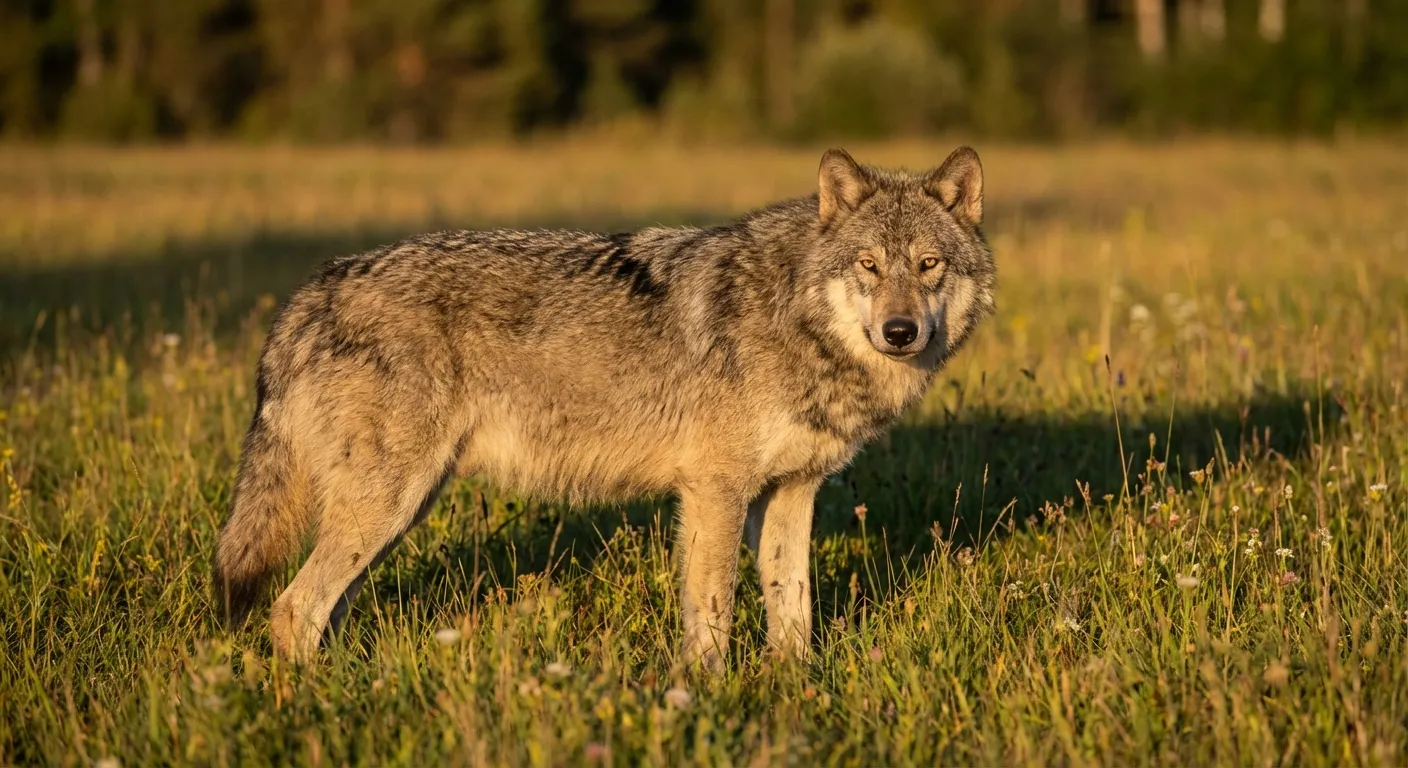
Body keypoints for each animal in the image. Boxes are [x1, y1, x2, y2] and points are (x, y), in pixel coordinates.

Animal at [212, 146, 996, 668]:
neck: (795, 318)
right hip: (388, 505)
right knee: (292, 608)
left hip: (397, 512)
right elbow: (712, 614)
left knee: (322, 608)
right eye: (869, 265)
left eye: (928, 265)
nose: (901, 332)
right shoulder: (714, 491)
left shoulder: (791, 492)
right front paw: (706, 696)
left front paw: (795, 687)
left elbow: (792, 604)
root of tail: (310, 293)